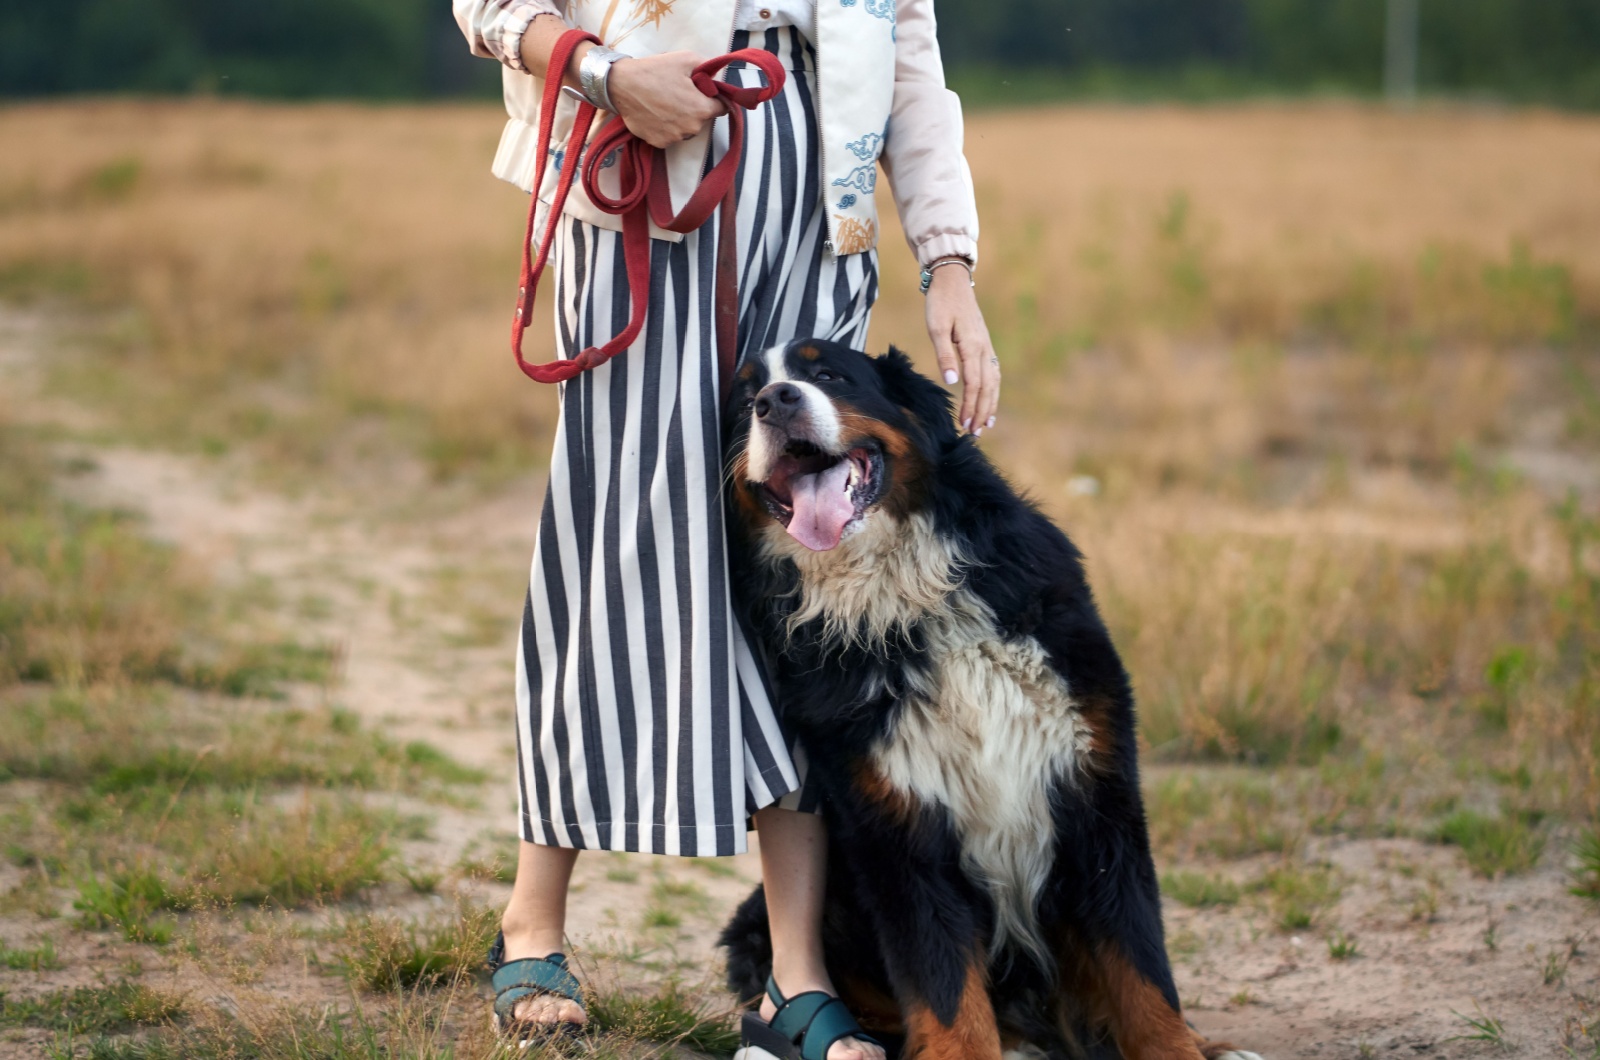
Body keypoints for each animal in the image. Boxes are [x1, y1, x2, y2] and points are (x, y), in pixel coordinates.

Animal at [720, 341, 1254, 1060]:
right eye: (743, 401)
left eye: (826, 373)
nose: (774, 401)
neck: (905, 606)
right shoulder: (900, 831)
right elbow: (945, 992)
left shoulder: (1096, 796)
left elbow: (1141, 972)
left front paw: (1178, 1047)